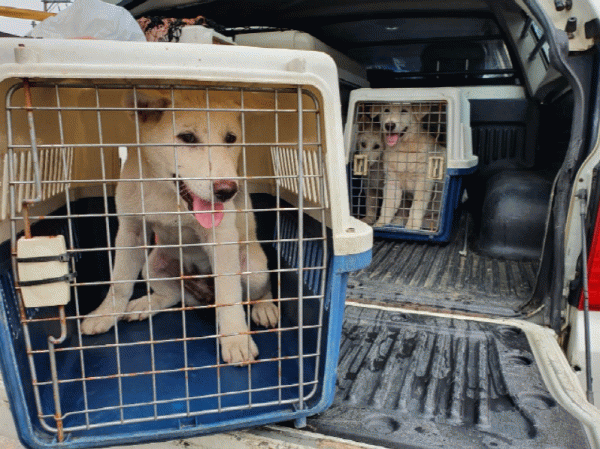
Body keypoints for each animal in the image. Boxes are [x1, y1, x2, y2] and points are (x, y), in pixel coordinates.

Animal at [80, 89, 278, 365]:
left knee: (258, 290)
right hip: (152, 266)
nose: (227, 191)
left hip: (255, 268)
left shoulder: (222, 238)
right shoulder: (131, 231)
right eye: (187, 138)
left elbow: (229, 295)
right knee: (173, 295)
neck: (168, 195)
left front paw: (235, 339)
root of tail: (203, 293)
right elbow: (119, 282)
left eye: (231, 138)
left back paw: (265, 307)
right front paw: (105, 314)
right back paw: (146, 304)